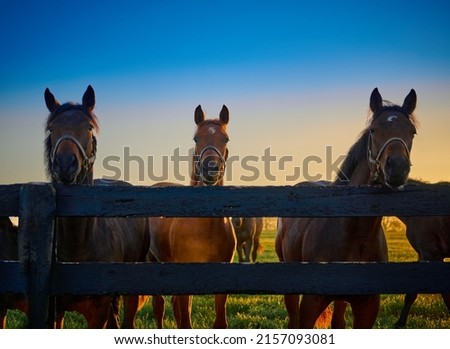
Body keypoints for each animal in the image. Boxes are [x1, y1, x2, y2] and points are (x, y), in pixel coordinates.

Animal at [149, 104, 237, 328]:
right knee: (159, 305)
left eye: (226, 139)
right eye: (196, 138)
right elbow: (185, 322)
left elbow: (220, 322)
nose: (211, 169)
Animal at [274, 88, 418, 328]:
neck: (355, 233)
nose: (397, 167)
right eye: (373, 130)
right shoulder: (311, 302)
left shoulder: (368, 307)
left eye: (412, 132)